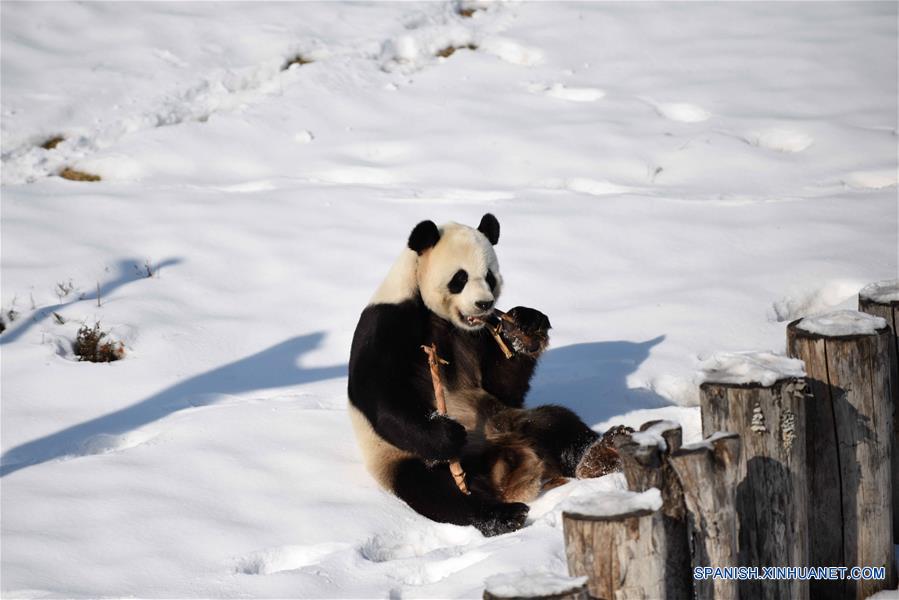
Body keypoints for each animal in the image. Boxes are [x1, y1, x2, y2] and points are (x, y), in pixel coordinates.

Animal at [348, 214, 628, 536]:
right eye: (460, 278)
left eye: (490, 277)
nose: (484, 303)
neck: (445, 320)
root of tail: (504, 472)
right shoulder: (388, 322)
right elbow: (381, 397)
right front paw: (447, 432)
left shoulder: (481, 335)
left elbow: (504, 386)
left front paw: (526, 327)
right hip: (404, 458)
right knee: (434, 489)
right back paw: (501, 515)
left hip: (506, 421)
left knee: (555, 422)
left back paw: (601, 453)